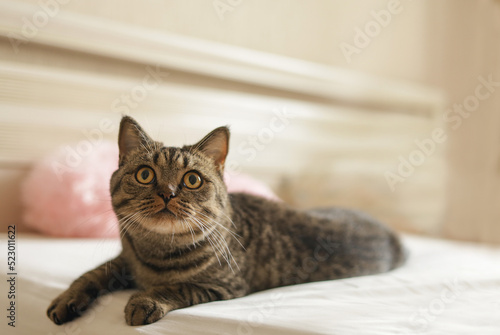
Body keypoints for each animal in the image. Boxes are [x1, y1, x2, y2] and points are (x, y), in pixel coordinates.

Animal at [47, 117, 406, 326]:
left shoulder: (225, 284)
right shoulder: (124, 259)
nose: (167, 193)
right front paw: (66, 299)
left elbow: (177, 286)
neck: (155, 255)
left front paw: (145, 300)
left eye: (192, 180)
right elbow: (92, 273)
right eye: (145, 174)